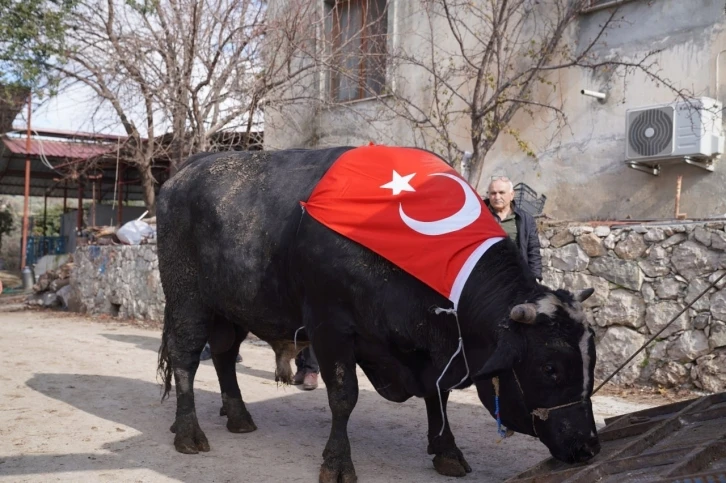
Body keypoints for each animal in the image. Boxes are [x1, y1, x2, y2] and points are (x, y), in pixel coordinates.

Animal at [155, 148, 604, 483]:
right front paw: (337, 463)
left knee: (224, 355)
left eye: (593, 362)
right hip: (187, 298)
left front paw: (446, 450)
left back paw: (237, 416)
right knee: (186, 357)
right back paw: (189, 432)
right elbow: (343, 397)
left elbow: (438, 395)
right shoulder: (330, 328)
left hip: (231, 308)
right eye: (549, 368)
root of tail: (185, 172)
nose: (588, 447)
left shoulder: (431, 350)